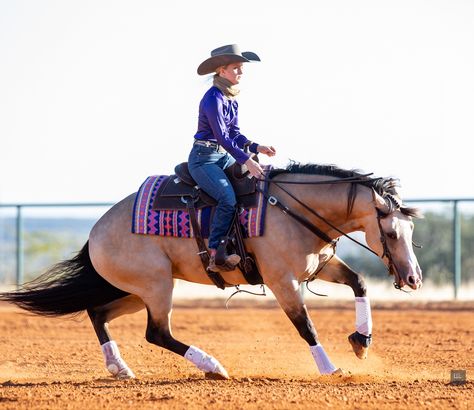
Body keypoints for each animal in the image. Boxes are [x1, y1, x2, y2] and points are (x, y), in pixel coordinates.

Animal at [0, 163, 422, 378]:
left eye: (411, 229)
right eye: (389, 231)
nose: (413, 279)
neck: (290, 209)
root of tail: (96, 232)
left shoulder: (319, 268)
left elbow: (359, 282)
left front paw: (361, 342)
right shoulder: (282, 281)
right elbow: (306, 326)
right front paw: (329, 368)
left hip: (138, 291)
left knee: (98, 312)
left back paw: (120, 368)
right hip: (156, 287)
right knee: (157, 333)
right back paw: (213, 366)